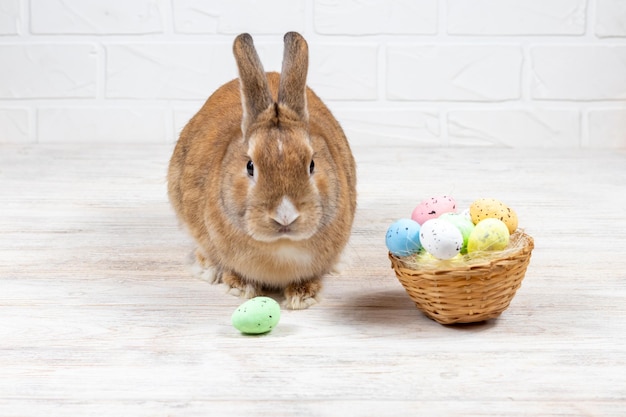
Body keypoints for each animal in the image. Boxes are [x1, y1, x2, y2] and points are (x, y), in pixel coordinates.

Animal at [167, 30, 356, 308]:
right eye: (250, 166)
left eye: (312, 164)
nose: (285, 216)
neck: (281, 247)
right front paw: (239, 287)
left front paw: (303, 296)